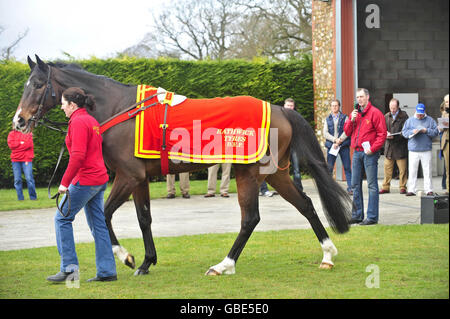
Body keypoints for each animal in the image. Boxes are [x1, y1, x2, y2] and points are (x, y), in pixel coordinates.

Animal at [13, 56, 352, 276]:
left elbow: (105, 214)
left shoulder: (127, 176)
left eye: (38, 84)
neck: (120, 109)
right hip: (275, 173)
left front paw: (127, 257)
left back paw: (224, 265)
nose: (19, 120)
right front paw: (147, 261)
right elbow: (144, 218)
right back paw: (328, 253)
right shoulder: (141, 179)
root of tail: (280, 109)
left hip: (251, 172)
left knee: (251, 218)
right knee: (304, 204)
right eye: (26, 84)